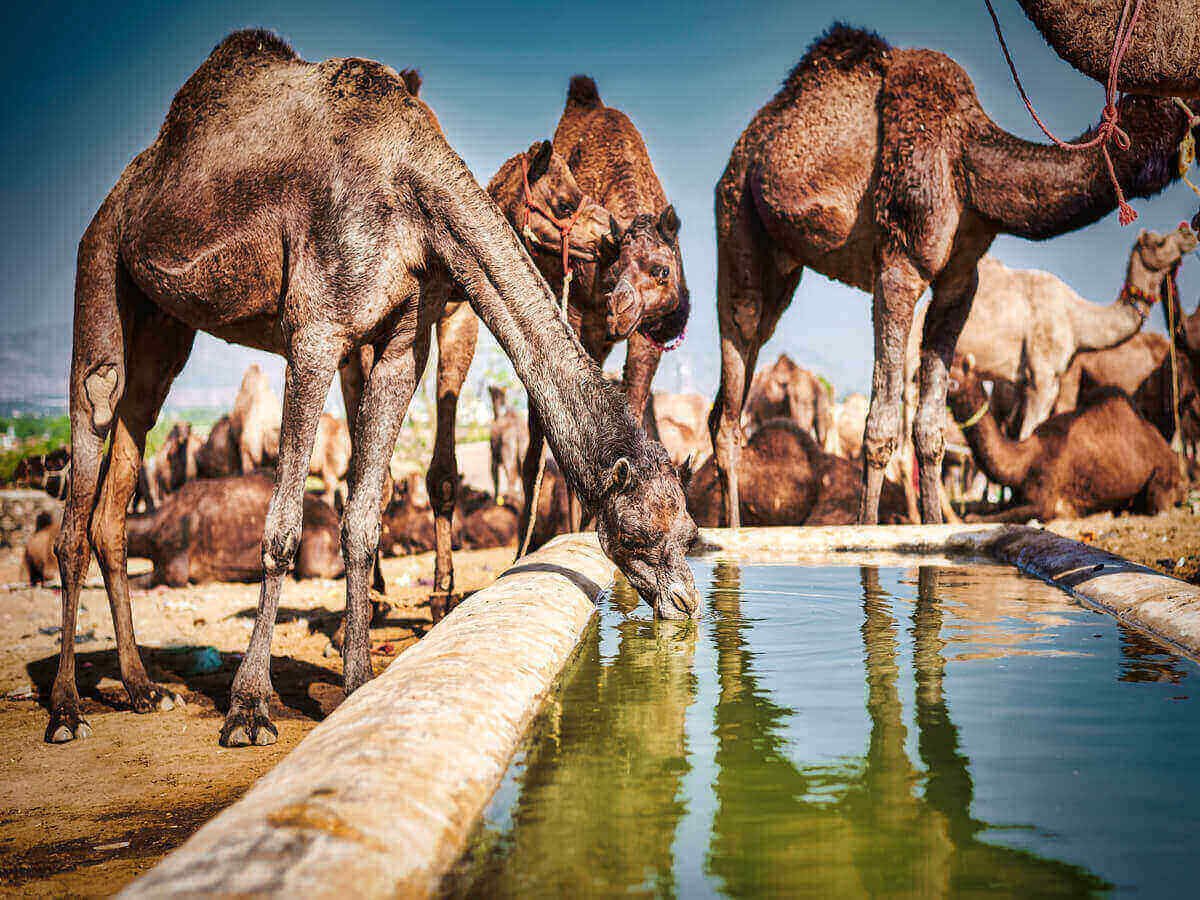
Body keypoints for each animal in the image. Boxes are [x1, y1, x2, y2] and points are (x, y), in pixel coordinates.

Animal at [947, 354, 1181, 520]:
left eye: (952, 382)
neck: (1024, 462)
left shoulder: (1044, 503)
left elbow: (976, 518)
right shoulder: (1016, 497)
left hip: (1163, 477)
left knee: (1156, 505)